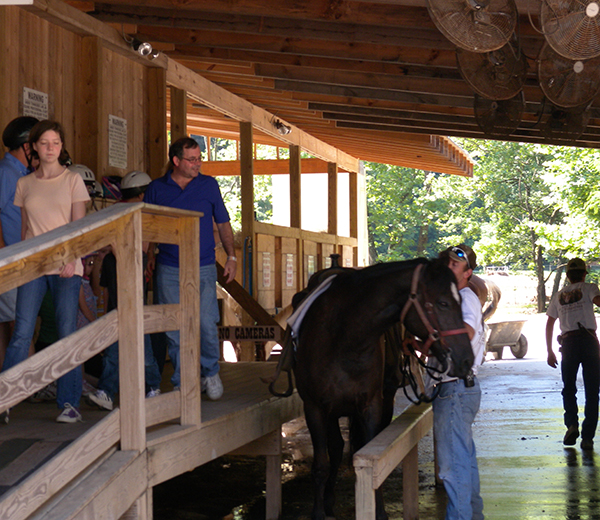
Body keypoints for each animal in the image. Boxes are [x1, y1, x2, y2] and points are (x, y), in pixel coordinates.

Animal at [292, 256, 474, 520]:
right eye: (442, 302)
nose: (467, 359)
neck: (343, 336)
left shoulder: (371, 405)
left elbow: (373, 461)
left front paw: (379, 511)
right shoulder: (314, 407)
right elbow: (320, 465)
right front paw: (317, 513)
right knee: (335, 449)